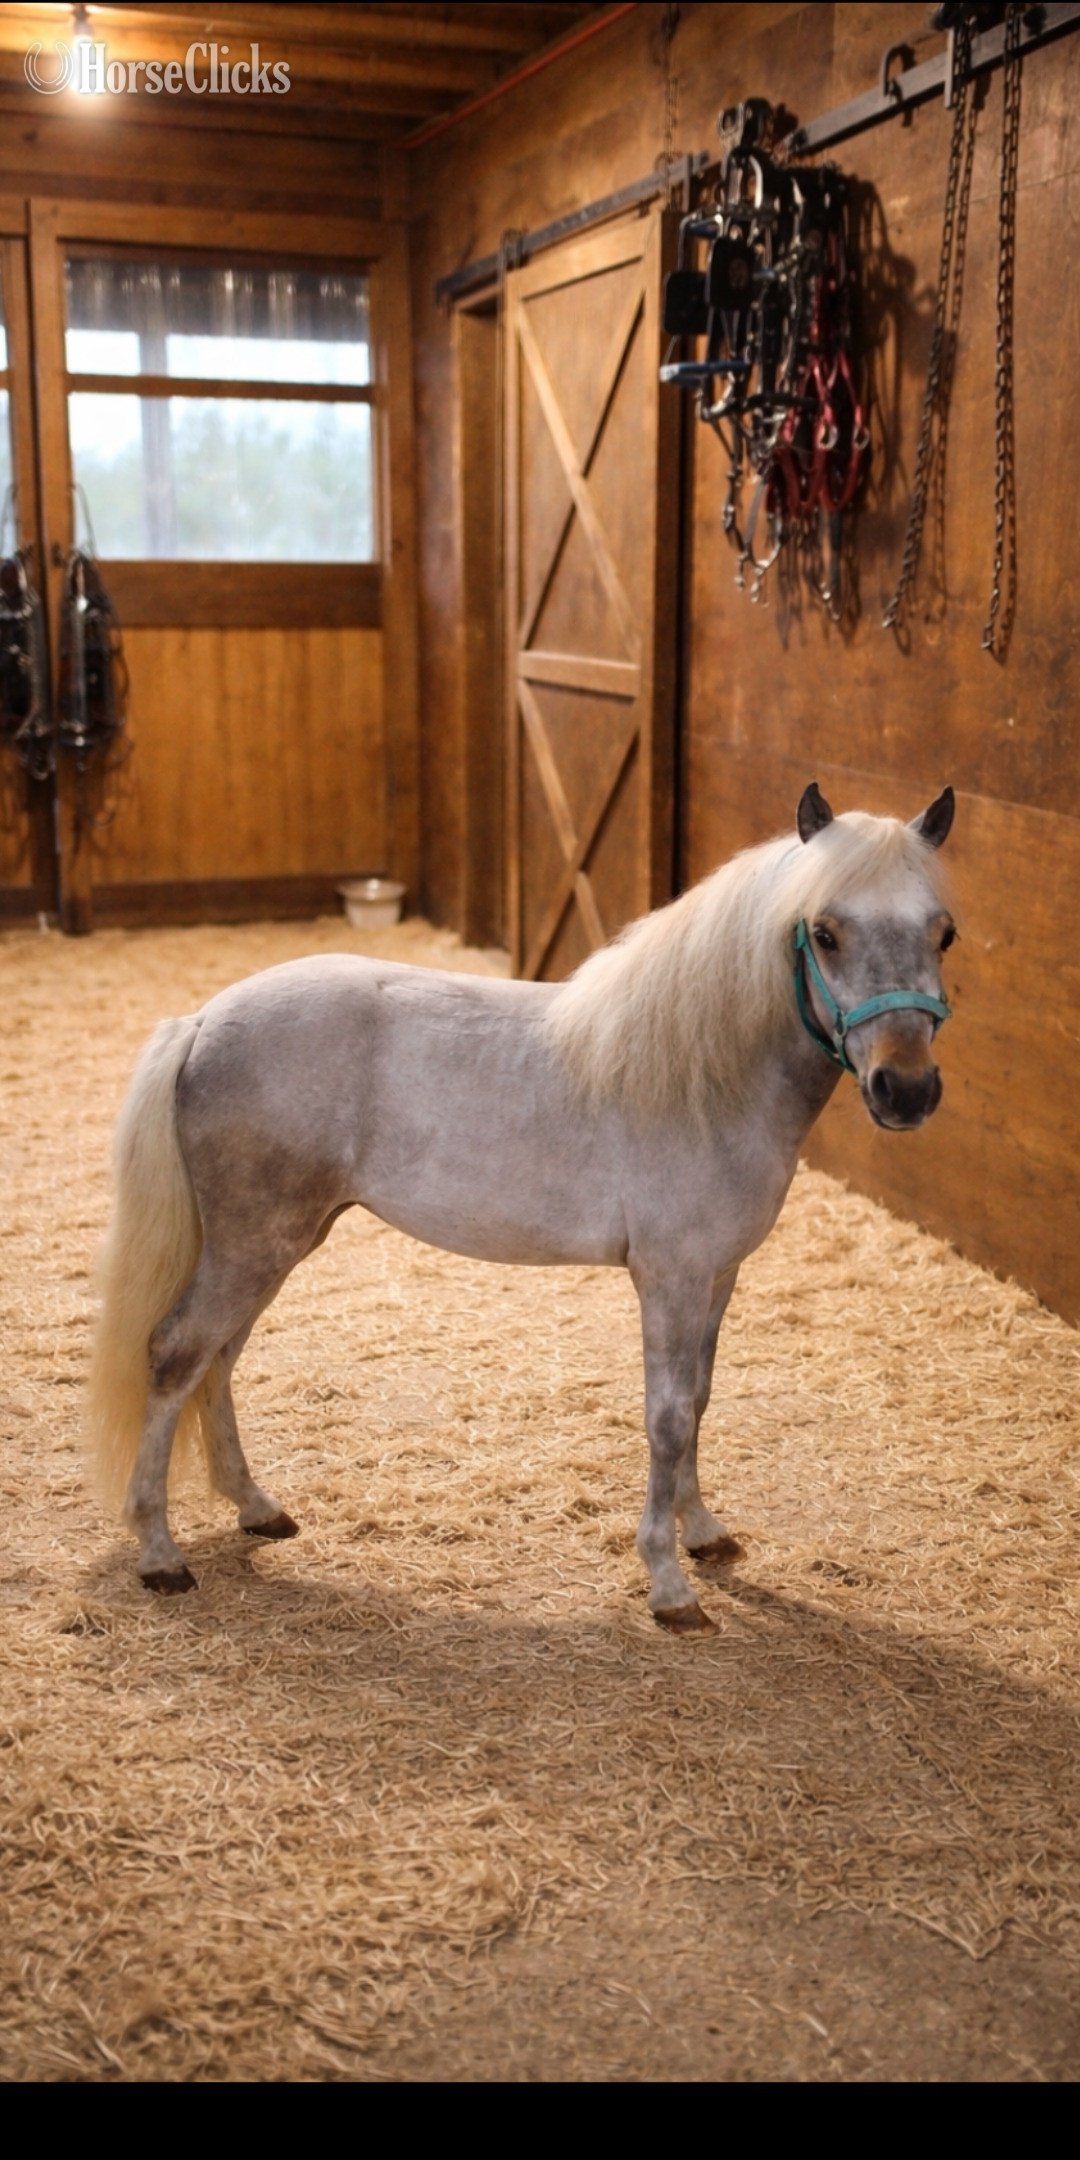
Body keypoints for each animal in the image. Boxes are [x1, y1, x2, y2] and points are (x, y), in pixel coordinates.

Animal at [87, 782, 956, 1632]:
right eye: (826, 933)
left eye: (943, 934)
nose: (906, 1090)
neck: (702, 1076)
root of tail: (203, 1021)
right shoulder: (669, 1280)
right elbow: (669, 1416)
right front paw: (668, 1584)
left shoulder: (717, 1278)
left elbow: (702, 1400)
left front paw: (704, 1532)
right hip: (254, 1244)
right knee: (176, 1354)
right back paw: (161, 1555)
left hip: (275, 1243)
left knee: (217, 1359)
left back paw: (255, 1507)